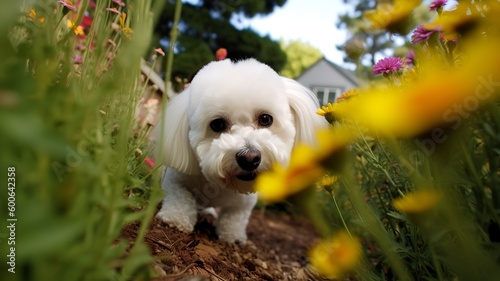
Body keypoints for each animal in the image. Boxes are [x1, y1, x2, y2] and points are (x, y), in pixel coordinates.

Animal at [157, 58, 328, 243]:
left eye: (265, 119)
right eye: (217, 124)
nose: (249, 158)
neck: (222, 185)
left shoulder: (244, 203)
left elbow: (235, 216)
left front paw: (232, 236)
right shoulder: (175, 180)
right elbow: (180, 196)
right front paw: (176, 218)